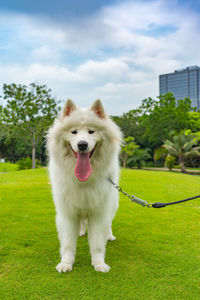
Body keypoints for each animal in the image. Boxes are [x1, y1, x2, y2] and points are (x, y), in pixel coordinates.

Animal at [47, 99, 122, 272]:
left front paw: (99, 264)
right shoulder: (68, 212)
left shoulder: (98, 213)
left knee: (108, 223)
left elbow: (97, 244)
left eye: (91, 132)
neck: (83, 180)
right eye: (74, 132)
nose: (82, 144)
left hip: (111, 205)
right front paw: (66, 263)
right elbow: (68, 243)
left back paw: (109, 235)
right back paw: (80, 232)